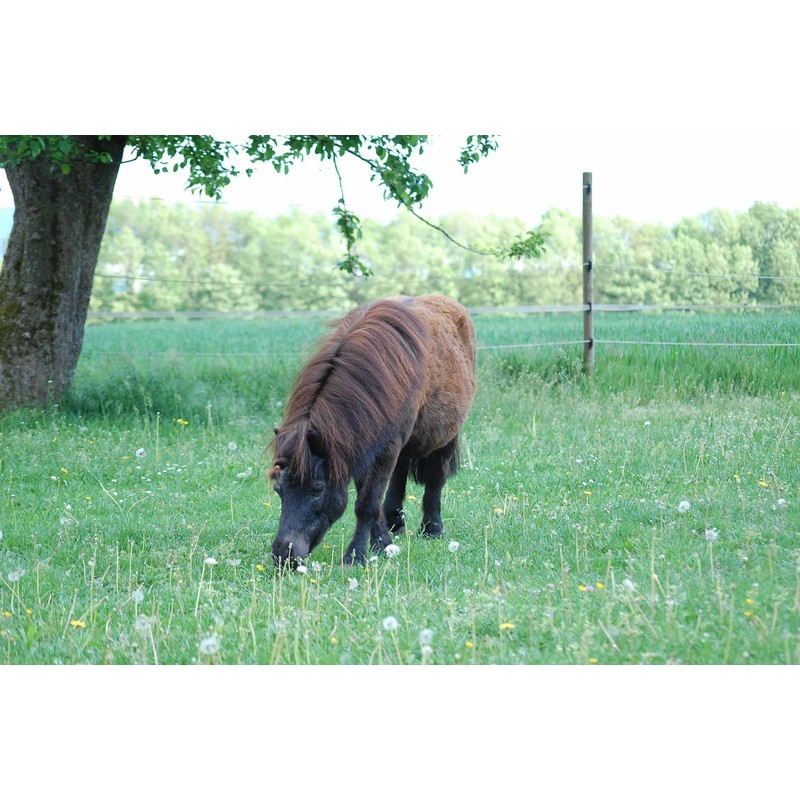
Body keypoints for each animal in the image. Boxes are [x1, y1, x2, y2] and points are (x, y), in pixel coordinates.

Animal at [269, 294, 477, 567]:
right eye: (278, 489)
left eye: (317, 489)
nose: (284, 554)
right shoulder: (361, 446)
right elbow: (371, 499)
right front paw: (382, 543)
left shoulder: (386, 448)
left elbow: (366, 503)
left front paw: (355, 555)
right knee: (399, 476)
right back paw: (395, 523)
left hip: (446, 438)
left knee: (435, 480)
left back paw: (432, 529)